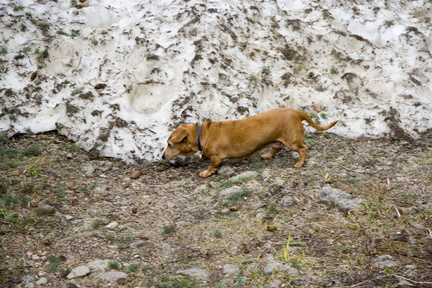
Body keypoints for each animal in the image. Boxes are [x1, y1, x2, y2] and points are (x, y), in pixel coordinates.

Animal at [162, 107, 338, 177]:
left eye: (169, 144)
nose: (163, 157)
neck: (201, 133)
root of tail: (297, 112)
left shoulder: (215, 157)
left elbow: (212, 166)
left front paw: (206, 172)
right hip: (277, 140)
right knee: (277, 148)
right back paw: (267, 155)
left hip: (292, 141)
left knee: (303, 149)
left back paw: (299, 163)